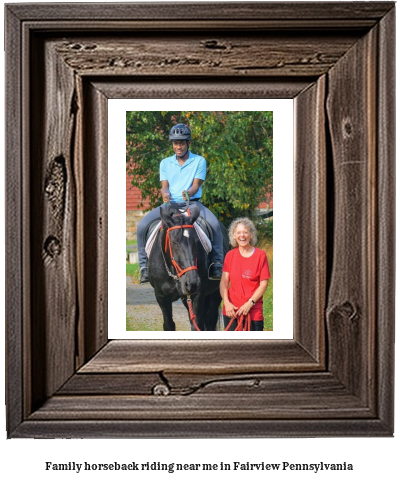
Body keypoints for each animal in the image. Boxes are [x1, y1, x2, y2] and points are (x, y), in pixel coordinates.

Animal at [148, 202, 228, 332]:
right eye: (174, 242)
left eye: (195, 241)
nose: (192, 282)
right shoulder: (161, 296)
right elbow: (169, 324)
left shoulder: (198, 294)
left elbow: (196, 325)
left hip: (216, 293)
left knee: (210, 319)